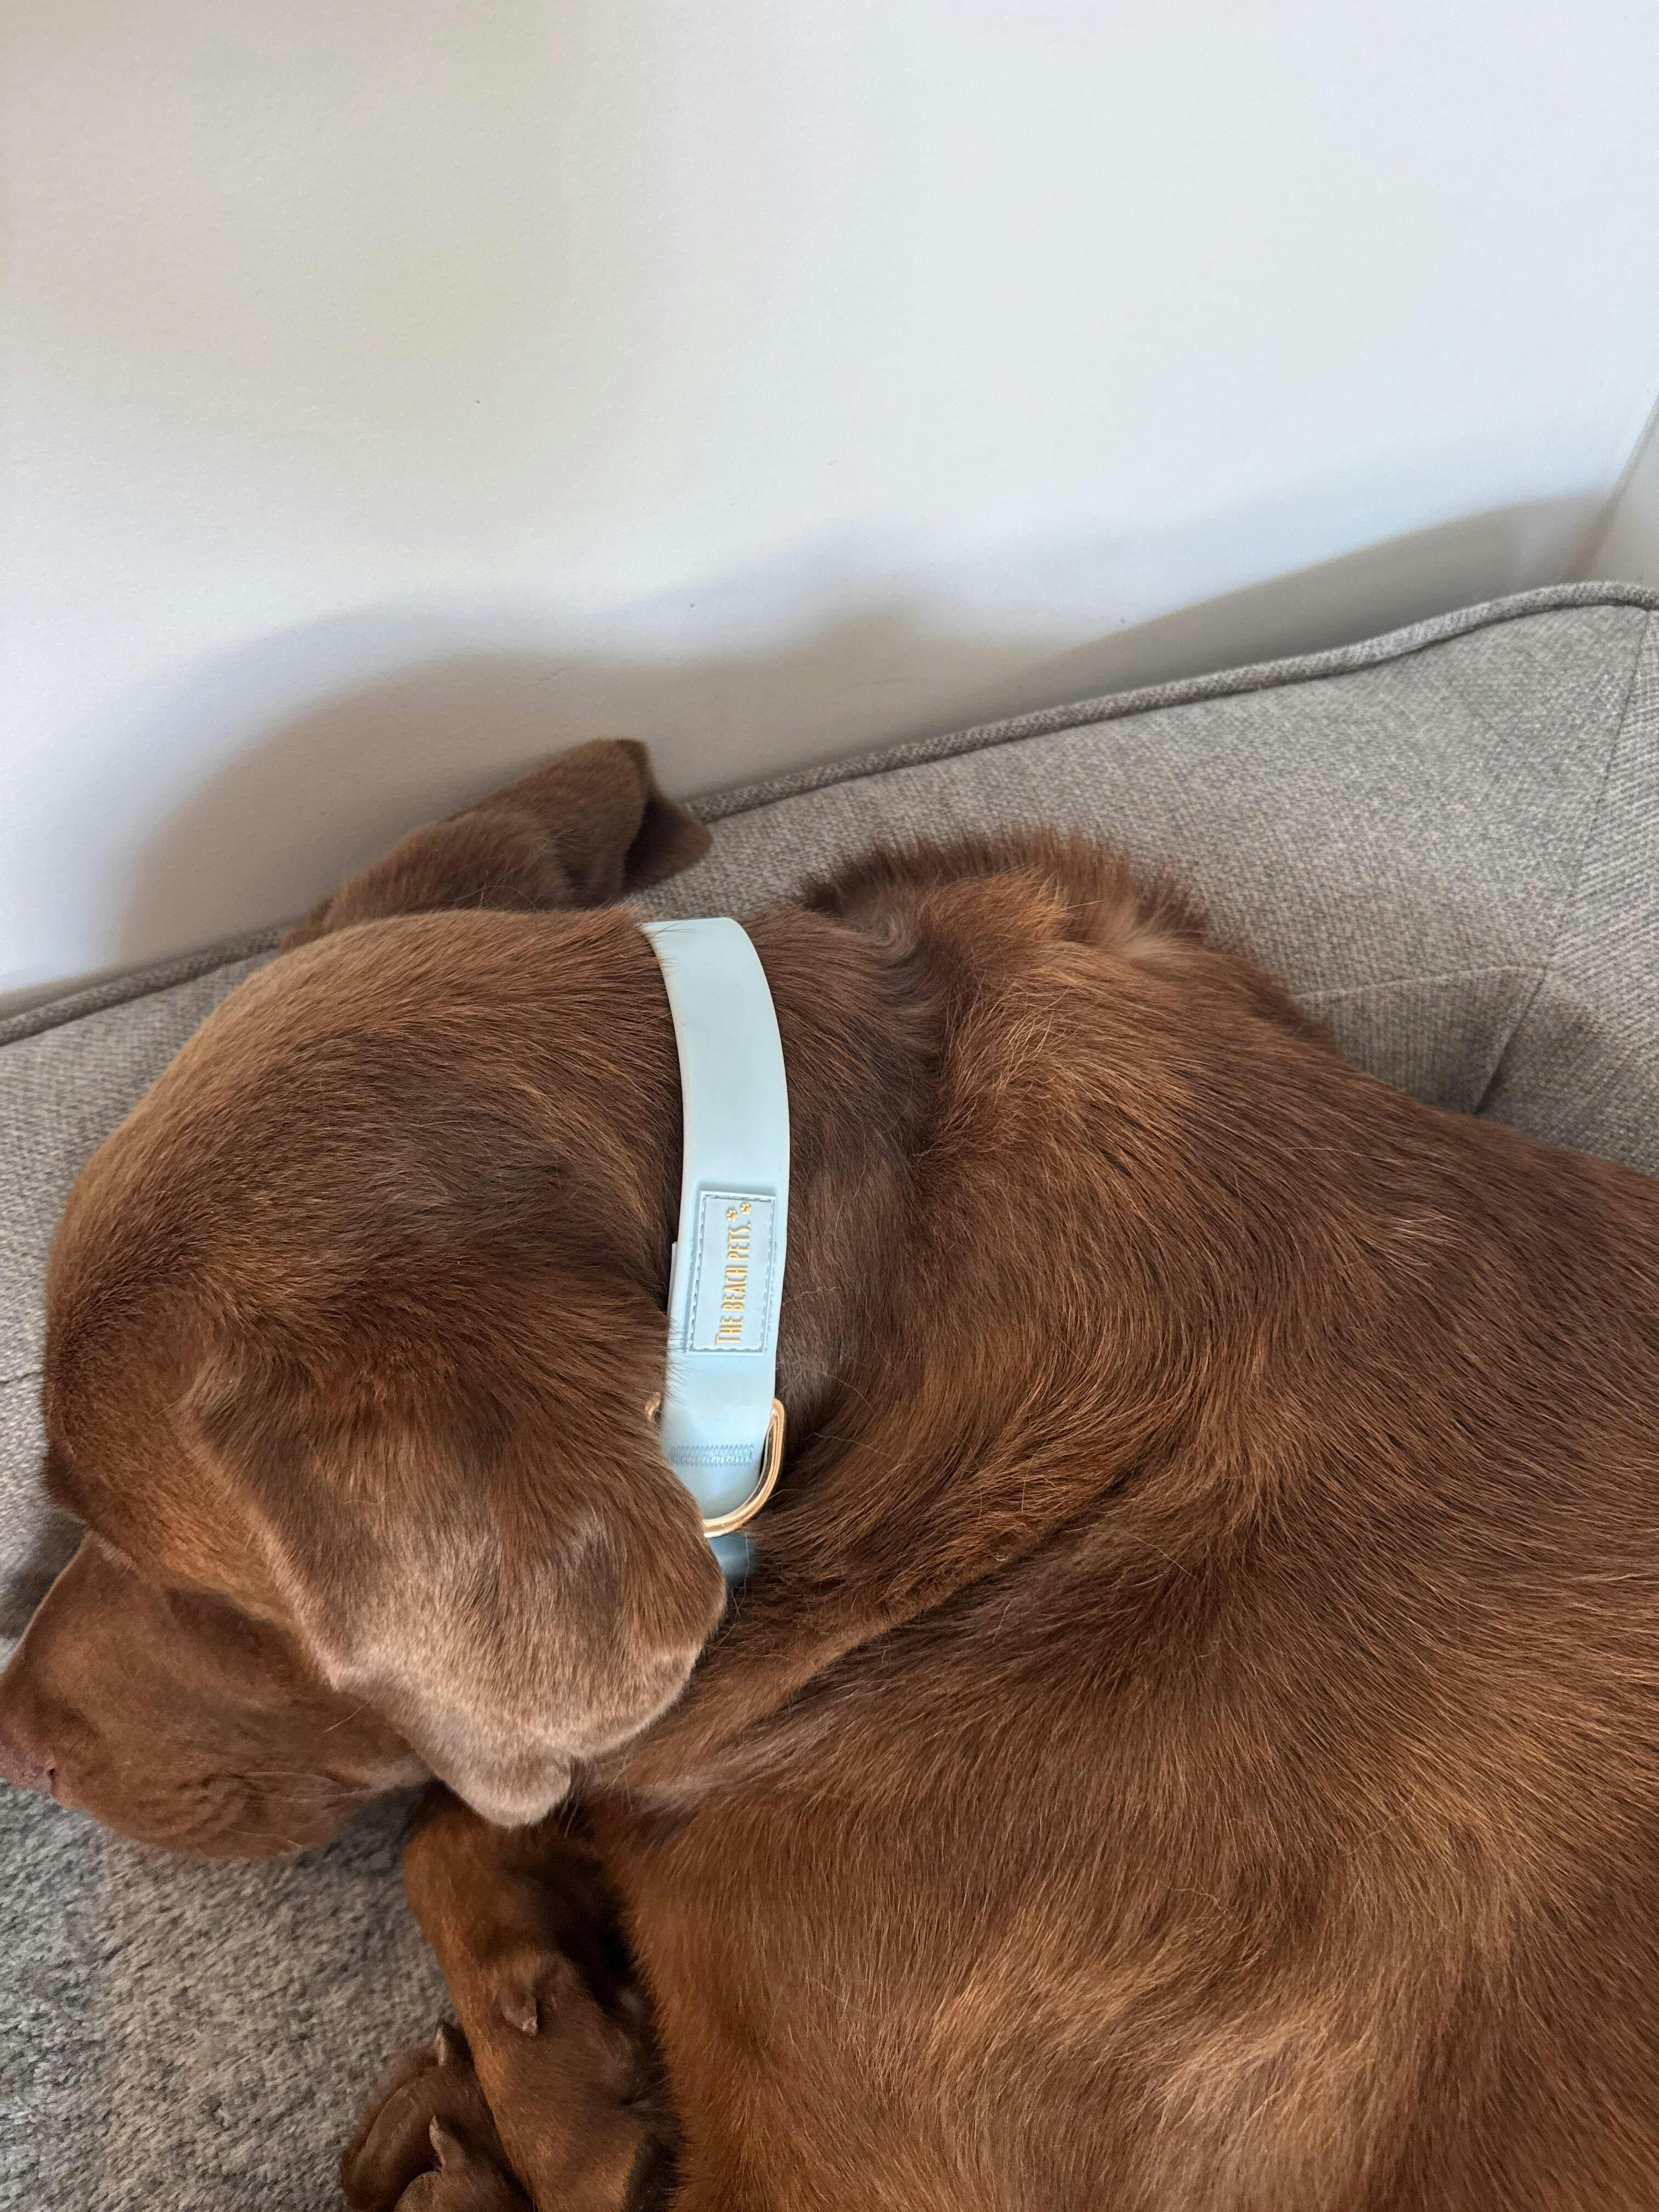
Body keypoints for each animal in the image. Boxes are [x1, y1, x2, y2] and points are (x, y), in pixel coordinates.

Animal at [3, 736, 1658, 2210]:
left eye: (172, 1574)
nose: (12, 1732)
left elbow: (473, 1840)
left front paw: (534, 2114)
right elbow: (460, 1823)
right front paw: (538, 2037)